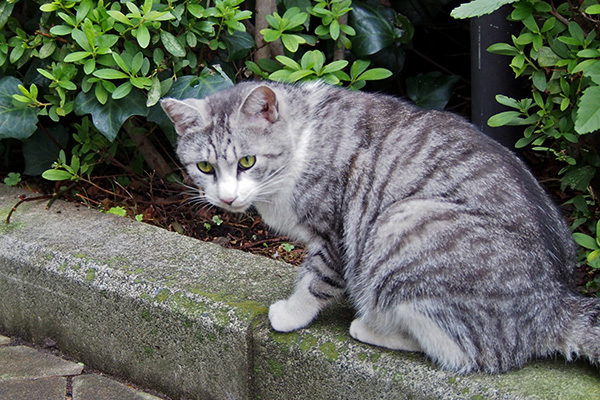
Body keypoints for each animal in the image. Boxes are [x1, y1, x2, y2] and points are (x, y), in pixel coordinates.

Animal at [159, 81, 600, 376]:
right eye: (204, 167)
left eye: (247, 161)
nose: (227, 198)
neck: (303, 138)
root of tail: (557, 303)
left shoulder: (334, 231)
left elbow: (317, 279)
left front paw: (291, 313)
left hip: (401, 222)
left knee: (469, 352)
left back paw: (372, 325)